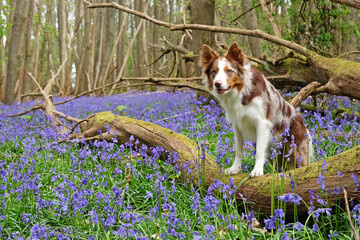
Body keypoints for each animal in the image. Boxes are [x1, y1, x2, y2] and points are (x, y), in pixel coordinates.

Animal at [200, 43, 312, 177]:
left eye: (229, 71)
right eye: (213, 72)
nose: (217, 83)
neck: (242, 92)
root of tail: (300, 118)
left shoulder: (262, 123)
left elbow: (258, 150)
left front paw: (257, 170)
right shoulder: (237, 125)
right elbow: (238, 150)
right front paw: (235, 168)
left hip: (294, 149)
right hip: (276, 152)